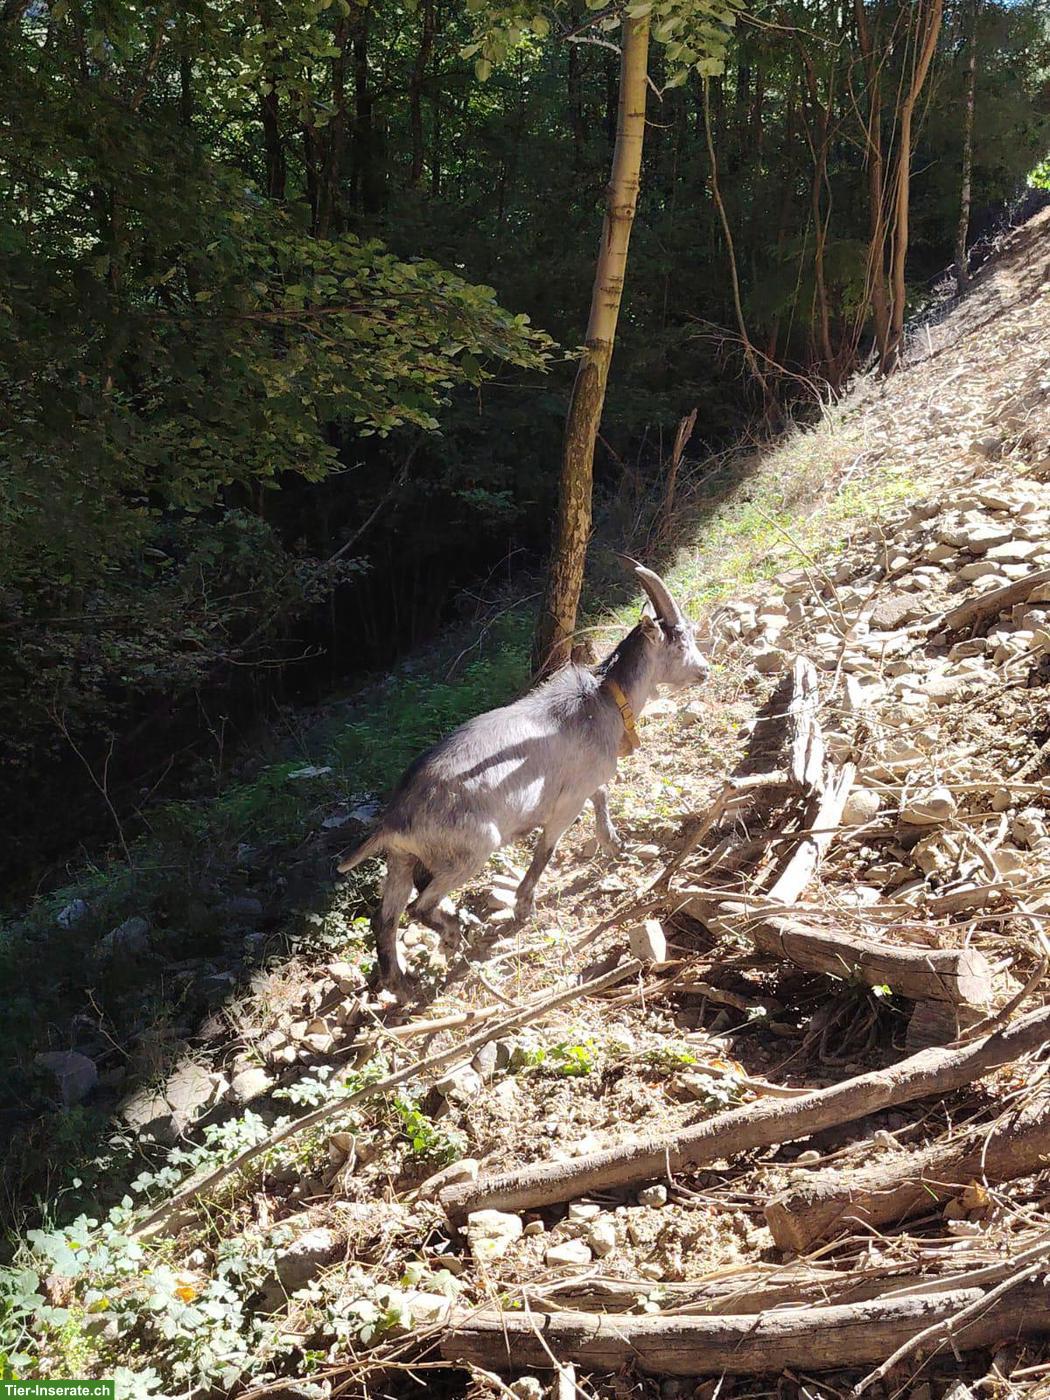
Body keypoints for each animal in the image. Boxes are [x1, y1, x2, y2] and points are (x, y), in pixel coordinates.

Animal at [337, 561, 709, 997]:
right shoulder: (565, 802)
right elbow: (546, 850)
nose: (704, 671)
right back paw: (452, 935)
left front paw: (615, 844)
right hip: (472, 848)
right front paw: (523, 906)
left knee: (386, 917)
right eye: (681, 640)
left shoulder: (585, 782)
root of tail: (394, 819)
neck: (603, 701)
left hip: (401, 858)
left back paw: (398, 980)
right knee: (419, 906)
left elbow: (601, 797)